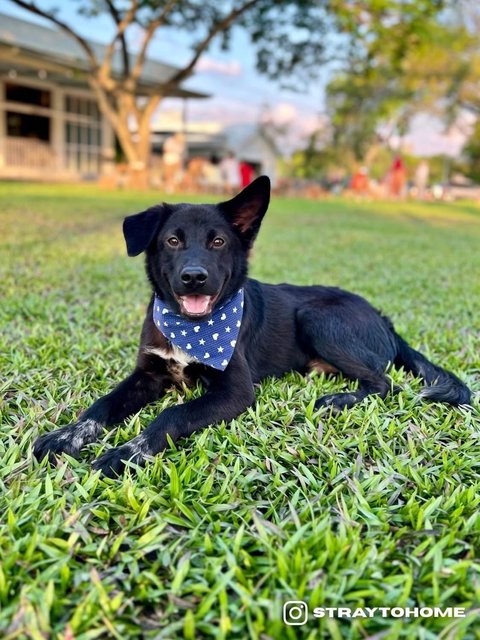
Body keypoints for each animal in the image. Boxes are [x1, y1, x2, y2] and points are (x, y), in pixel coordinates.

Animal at [33, 175, 472, 476]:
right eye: (173, 241)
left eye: (218, 242)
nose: (194, 277)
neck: (192, 327)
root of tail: (383, 317)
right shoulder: (147, 374)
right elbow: (102, 405)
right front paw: (66, 435)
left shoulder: (235, 391)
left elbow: (171, 415)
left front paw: (126, 453)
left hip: (316, 318)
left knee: (384, 383)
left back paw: (337, 400)